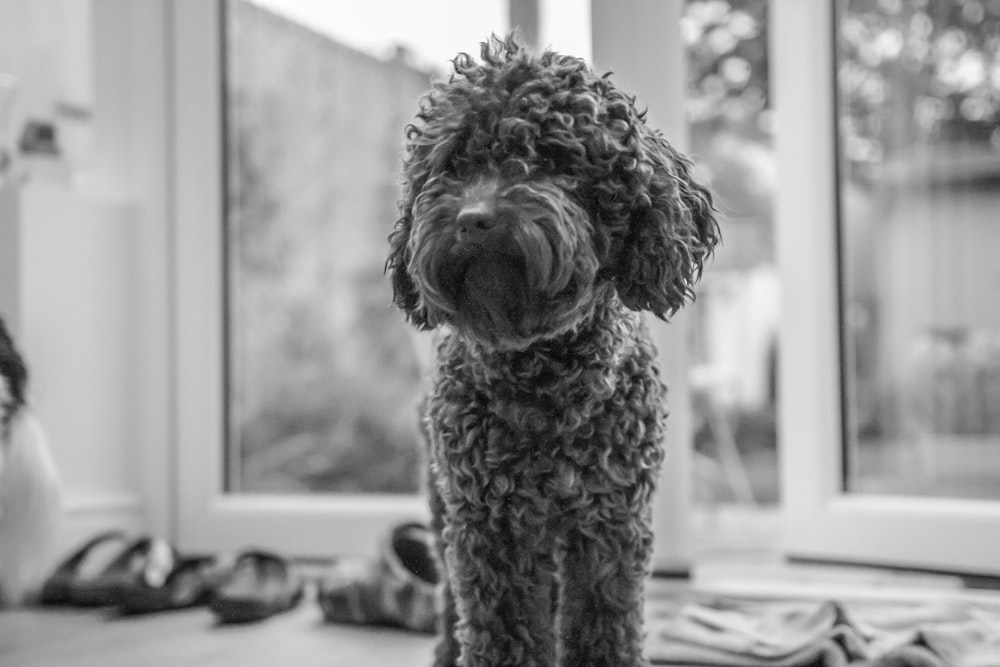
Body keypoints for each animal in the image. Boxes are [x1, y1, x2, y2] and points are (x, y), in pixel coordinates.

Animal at [384, 36, 720, 667]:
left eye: (554, 158)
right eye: (454, 164)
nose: (473, 220)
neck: (543, 379)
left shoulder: (609, 525)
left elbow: (602, 623)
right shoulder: (491, 529)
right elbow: (501, 629)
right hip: (444, 506)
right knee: (449, 596)